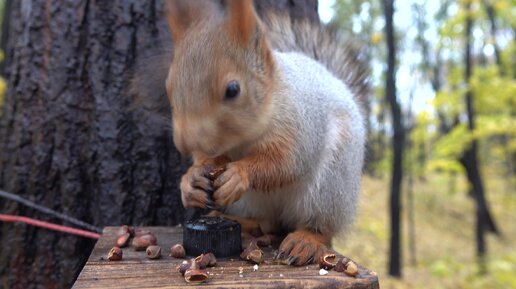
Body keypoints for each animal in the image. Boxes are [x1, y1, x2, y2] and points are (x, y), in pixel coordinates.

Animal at [143, 0, 368, 266]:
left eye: (233, 89)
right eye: (168, 86)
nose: (185, 144)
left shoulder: (301, 126)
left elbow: (286, 162)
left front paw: (239, 174)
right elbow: (207, 160)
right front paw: (191, 180)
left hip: (330, 187)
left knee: (320, 225)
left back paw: (305, 240)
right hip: (252, 203)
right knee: (265, 222)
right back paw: (244, 222)